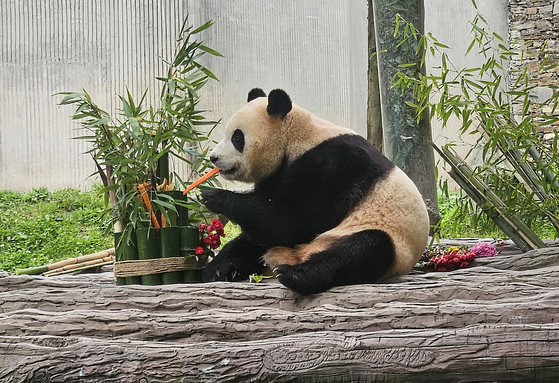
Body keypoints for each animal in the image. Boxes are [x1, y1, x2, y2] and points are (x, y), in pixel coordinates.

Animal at [203, 89, 430, 294]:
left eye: (237, 137)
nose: (213, 158)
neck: (295, 138)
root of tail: (299, 255)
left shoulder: (333, 166)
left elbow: (293, 220)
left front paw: (213, 197)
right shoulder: (276, 175)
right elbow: (267, 219)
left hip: (387, 242)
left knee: (363, 249)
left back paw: (294, 275)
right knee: (248, 243)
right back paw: (218, 270)